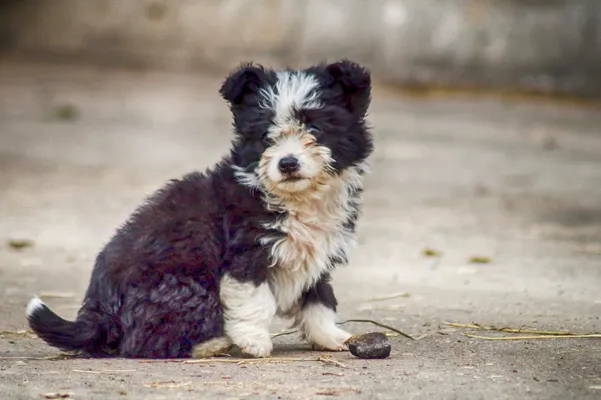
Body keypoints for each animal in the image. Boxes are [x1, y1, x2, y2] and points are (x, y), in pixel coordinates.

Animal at [29, 60, 376, 360]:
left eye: (314, 129)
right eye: (267, 136)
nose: (287, 163)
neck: (295, 198)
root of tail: (97, 312)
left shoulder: (316, 256)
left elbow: (319, 301)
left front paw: (331, 336)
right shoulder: (246, 254)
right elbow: (255, 299)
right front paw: (253, 340)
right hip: (186, 287)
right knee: (140, 342)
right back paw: (210, 344)